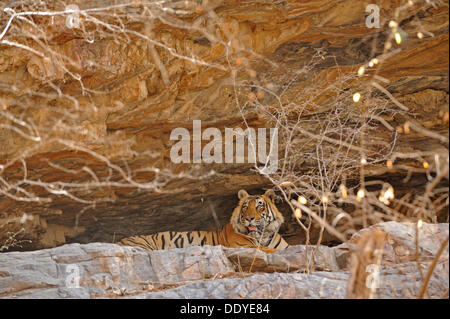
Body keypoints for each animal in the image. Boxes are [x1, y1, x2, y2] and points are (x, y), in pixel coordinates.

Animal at [116, 190, 290, 255]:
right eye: (245, 207)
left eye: (259, 206)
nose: (249, 218)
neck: (263, 235)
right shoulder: (242, 246)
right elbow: (267, 249)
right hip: (143, 245)